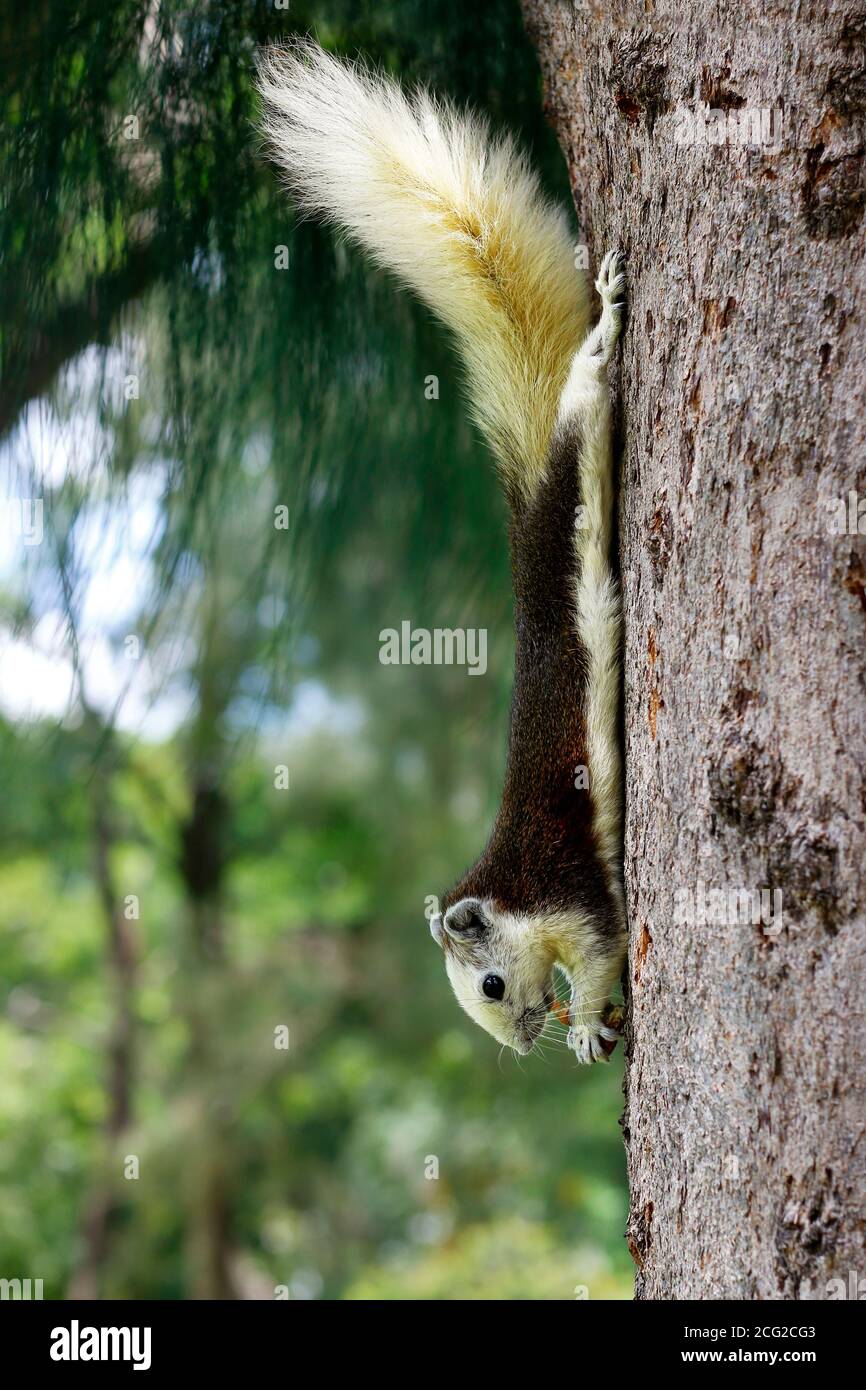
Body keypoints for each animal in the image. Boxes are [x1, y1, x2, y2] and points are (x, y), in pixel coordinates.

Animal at [257, 39, 627, 1064]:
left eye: (492, 983)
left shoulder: (573, 899)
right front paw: (588, 1028)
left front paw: (589, 1025)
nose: (522, 1043)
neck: (508, 889)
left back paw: (606, 326)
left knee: (586, 393)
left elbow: (604, 952)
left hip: (580, 448)